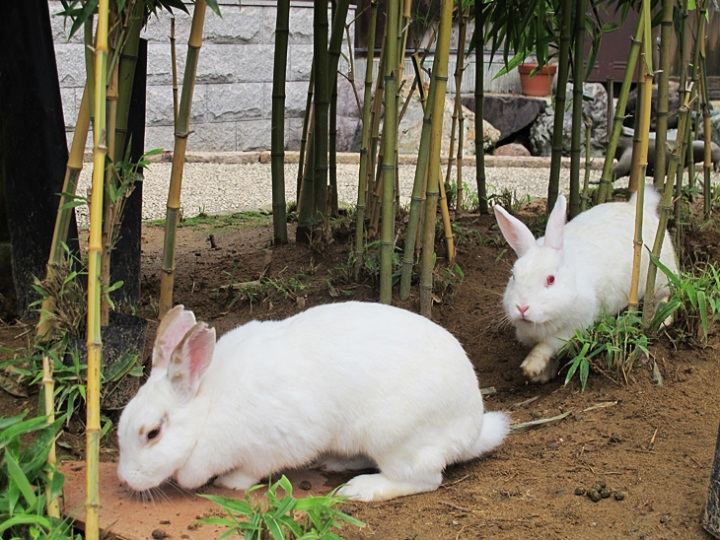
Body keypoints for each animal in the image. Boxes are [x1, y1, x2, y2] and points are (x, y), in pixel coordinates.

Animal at [118, 300, 510, 502]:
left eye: (152, 433)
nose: (124, 479)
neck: (208, 408)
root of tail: (471, 431)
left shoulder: (267, 446)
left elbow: (251, 471)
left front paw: (229, 483)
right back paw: (335, 463)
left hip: (396, 439)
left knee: (423, 479)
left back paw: (360, 489)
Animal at [492, 186, 676, 384]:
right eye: (513, 276)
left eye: (551, 279)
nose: (522, 308)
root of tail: (638, 206)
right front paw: (543, 375)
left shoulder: (573, 328)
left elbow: (545, 347)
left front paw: (531, 368)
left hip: (660, 275)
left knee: (663, 298)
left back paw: (662, 320)